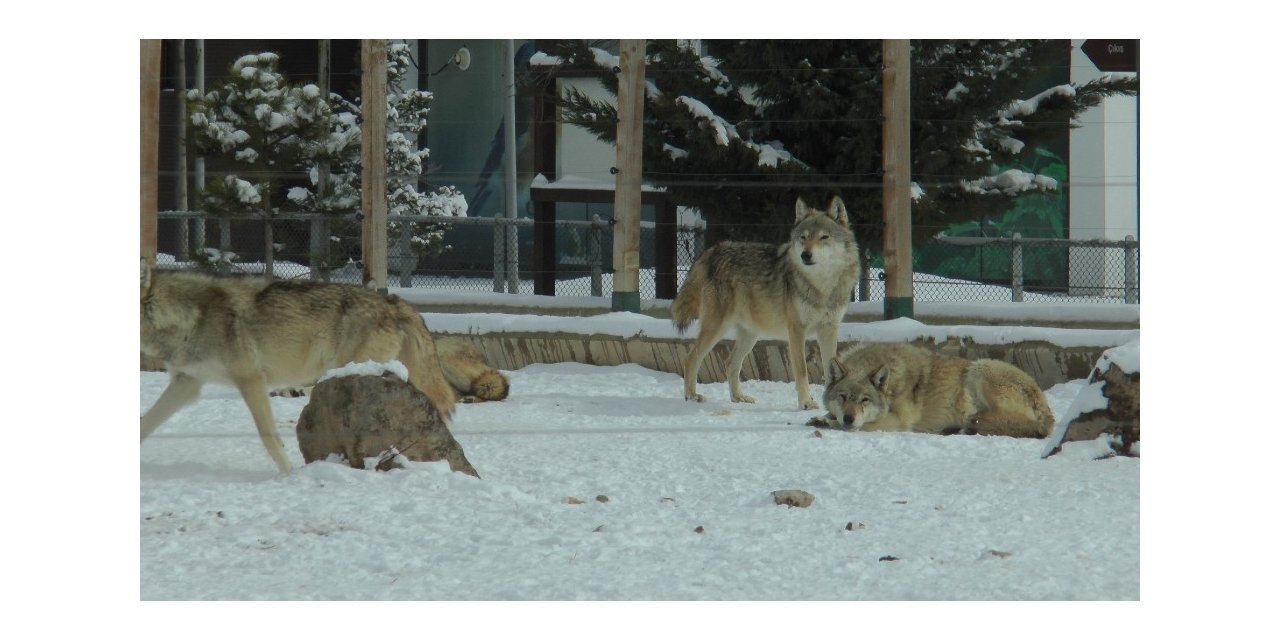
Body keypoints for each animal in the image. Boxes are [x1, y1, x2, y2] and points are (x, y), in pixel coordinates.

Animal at [140, 262, 458, 473]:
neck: (191, 316)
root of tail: (392, 300)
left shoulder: (251, 381)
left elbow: (269, 438)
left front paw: (289, 474)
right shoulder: (186, 384)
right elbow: (144, 423)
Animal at [670, 194, 860, 409]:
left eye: (824, 237)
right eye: (803, 238)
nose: (805, 255)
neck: (822, 286)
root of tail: (714, 250)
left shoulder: (829, 330)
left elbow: (830, 370)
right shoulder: (796, 330)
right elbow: (802, 371)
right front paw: (806, 403)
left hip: (751, 335)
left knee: (730, 363)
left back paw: (739, 398)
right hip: (716, 328)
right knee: (691, 358)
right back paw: (692, 396)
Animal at [814, 343, 1054, 437]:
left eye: (864, 400)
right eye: (843, 397)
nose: (848, 418)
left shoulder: (898, 422)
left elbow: (859, 426)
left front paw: (830, 423)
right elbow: (829, 413)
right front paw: (823, 418)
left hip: (979, 368)